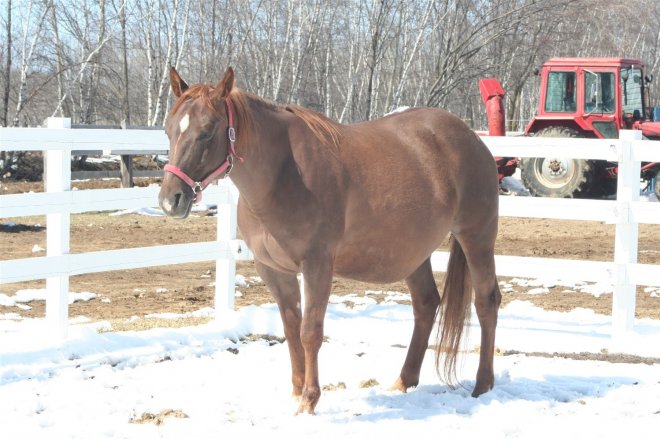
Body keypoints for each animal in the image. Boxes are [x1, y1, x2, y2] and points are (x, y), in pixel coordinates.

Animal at [159, 67, 500, 414]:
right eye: (169, 130)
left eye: (207, 132)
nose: (171, 200)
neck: (283, 174)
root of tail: (471, 137)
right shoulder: (273, 270)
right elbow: (291, 327)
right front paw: (297, 391)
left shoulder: (317, 265)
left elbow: (310, 331)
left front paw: (309, 400)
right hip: (413, 251)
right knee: (426, 303)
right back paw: (404, 381)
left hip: (476, 237)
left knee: (486, 301)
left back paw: (482, 385)